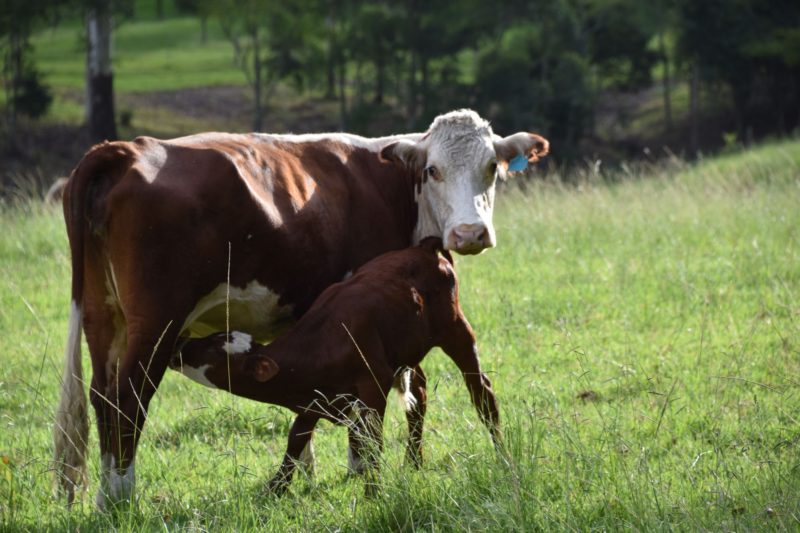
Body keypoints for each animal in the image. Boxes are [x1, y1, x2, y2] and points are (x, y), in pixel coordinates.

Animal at [172, 237, 499, 495]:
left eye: (213, 348)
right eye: (214, 336)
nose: (179, 345)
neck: (317, 347)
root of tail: (425, 248)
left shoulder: (374, 384)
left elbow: (371, 442)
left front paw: (373, 492)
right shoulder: (312, 402)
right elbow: (295, 442)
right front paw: (276, 488)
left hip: (456, 330)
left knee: (481, 393)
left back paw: (501, 453)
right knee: (418, 397)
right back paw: (414, 462)